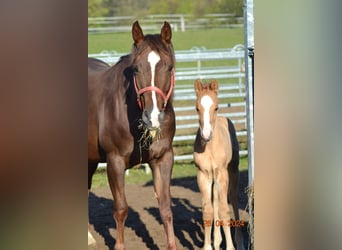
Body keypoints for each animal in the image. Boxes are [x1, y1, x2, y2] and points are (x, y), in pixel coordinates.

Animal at [87, 20, 178, 249]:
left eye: (169, 66)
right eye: (136, 68)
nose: (152, 117)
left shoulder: (163, 158)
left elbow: (165, 207)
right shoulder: (115, 162)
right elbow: (121, 209)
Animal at [194, 79, 244, 249]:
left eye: (216, 107)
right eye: (197, 108)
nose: (206, 134)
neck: (210, 148)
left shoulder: (222, 174)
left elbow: (224, 211)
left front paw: (230, 247)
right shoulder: (203, 175)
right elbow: (208, 212)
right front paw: (208, 246)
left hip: (232, 170)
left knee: (233, 199)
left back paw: (239, 242)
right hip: (213, 178)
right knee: (215, 200)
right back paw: (216, 241)